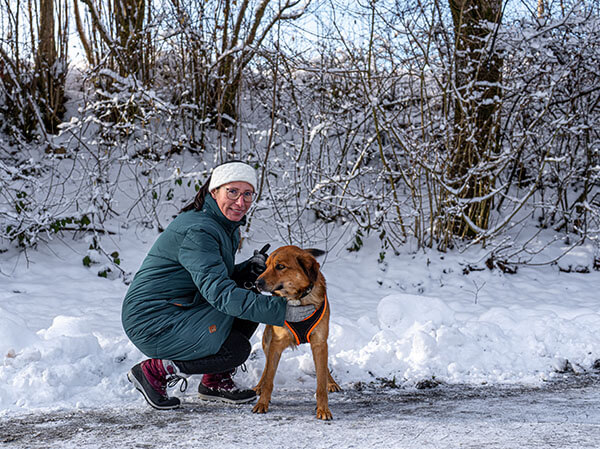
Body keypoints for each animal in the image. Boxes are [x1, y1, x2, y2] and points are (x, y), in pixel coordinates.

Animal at [253, 245, 341, 420]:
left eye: (280, 266)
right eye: (266, 266)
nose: (257, 283)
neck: (298, 300)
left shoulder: (319, 342)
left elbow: (320, 381)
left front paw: (323, 408)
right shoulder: (276, 344)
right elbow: (269, 378)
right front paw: (262, 402)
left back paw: (331, 382)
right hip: (267, 339)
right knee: (266, 366)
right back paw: (259, 385)